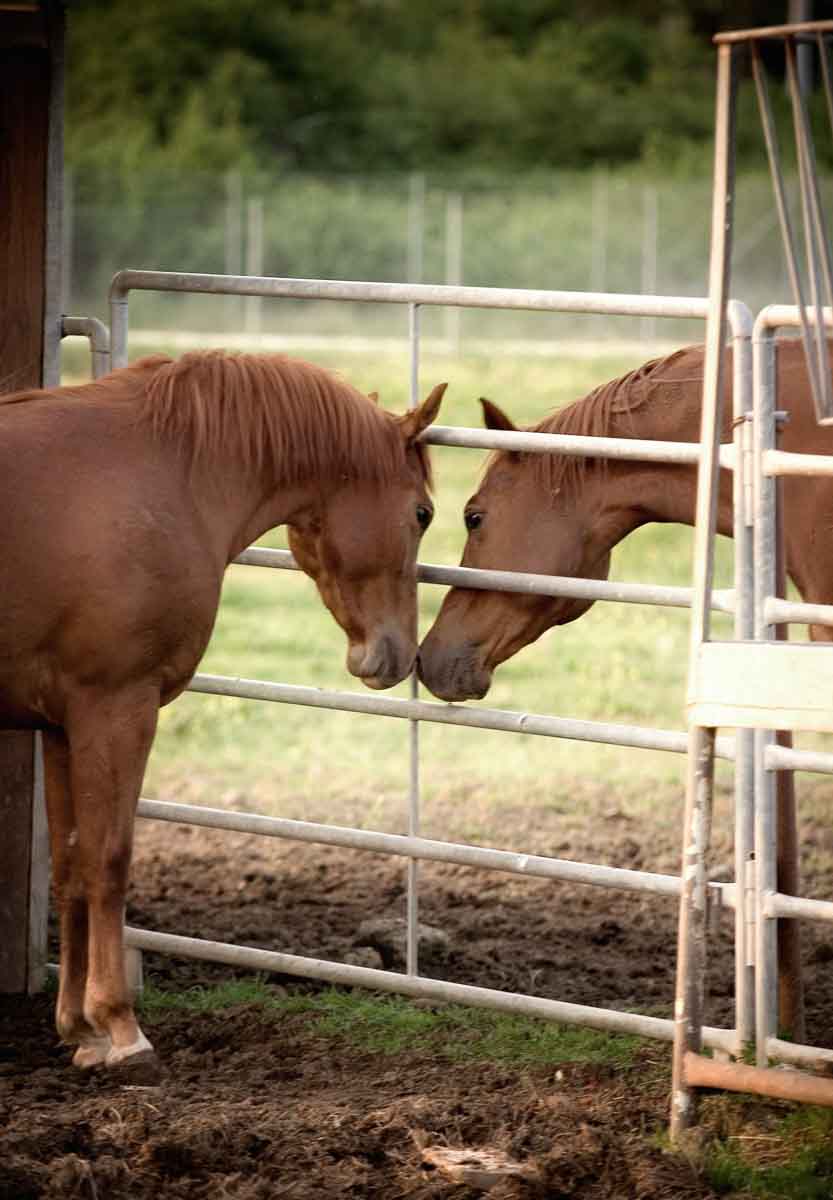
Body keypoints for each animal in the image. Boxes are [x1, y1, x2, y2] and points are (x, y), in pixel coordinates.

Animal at [0, 350, 446, 1075]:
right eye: (424, 512)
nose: (396, 654)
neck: (164, 470)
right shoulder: (115, 706)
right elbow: (109, 857)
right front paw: (119, 1026)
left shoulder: (59, 722)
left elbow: (70, 866)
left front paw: (79, 1029)